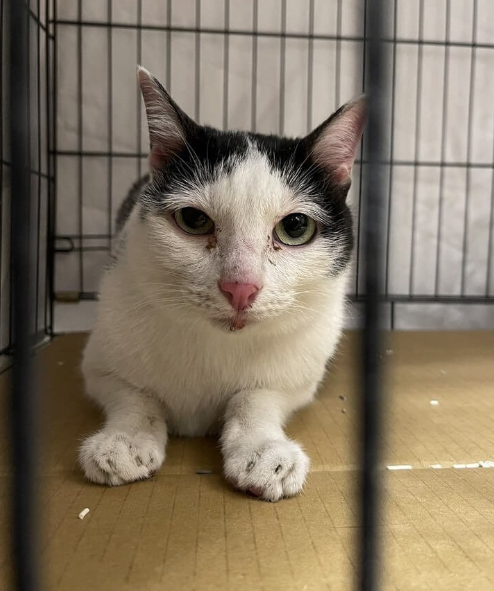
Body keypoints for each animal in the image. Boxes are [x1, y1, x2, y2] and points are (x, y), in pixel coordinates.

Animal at [79, 67, 364, 504]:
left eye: (295, 227)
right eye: (194, 220)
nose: (240, 287)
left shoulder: (300, 376)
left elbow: (257, 397)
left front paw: (263, 450)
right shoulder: (98, 364)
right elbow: (133, 394)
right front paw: (125, 440)